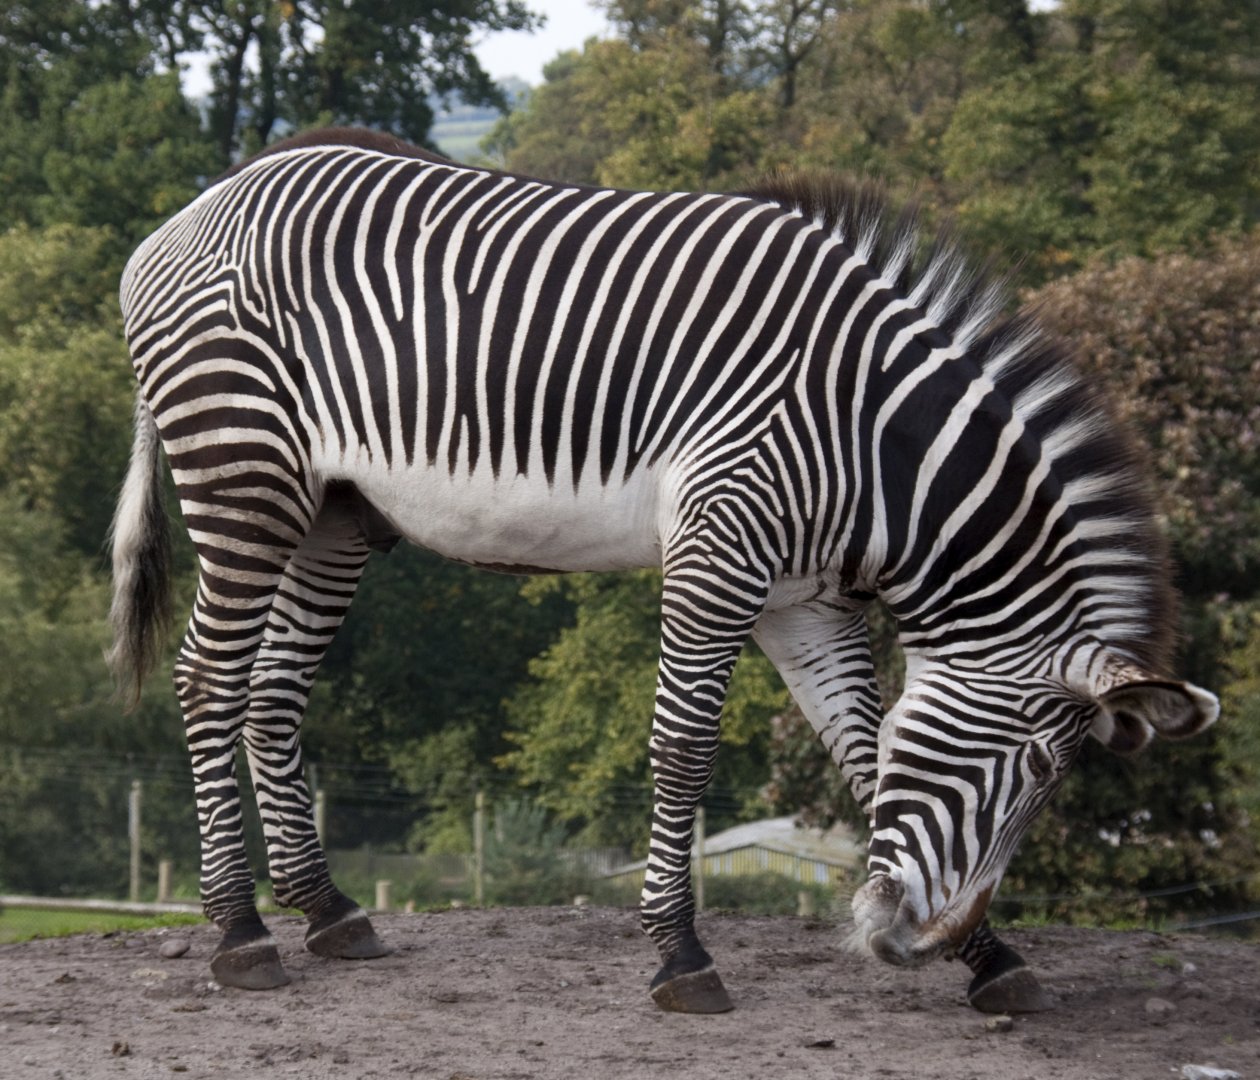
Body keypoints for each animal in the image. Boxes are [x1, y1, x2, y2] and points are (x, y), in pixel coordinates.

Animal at [109, 128, 1217, 1009]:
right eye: (1036, 770)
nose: (909, 945)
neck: (876, 443)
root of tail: (194, 210)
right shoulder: (721, 545)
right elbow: (683, 750)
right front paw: (680, 954)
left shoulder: (803, 600)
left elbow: (864, 754)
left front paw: (991, 958)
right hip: (244, 475)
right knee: (209, 681)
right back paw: (240, 932)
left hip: (333, 513)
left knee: (272, 691)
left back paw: (327, 911)